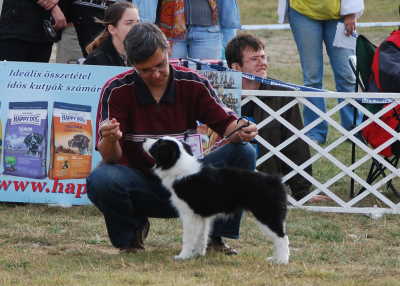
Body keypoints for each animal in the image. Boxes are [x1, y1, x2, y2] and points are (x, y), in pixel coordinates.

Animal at [142, 136, 290, 264]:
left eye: (158, 143)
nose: (143, 139)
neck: (179, 166)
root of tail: (276, 181)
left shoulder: (189, 214)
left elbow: (188, 237)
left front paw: (183, 256)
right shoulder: (201, 216)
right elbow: (201, 236)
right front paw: (197, 254)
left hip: (266, 214)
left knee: (282, 237)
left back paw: (281, 261)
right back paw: (275, 258)